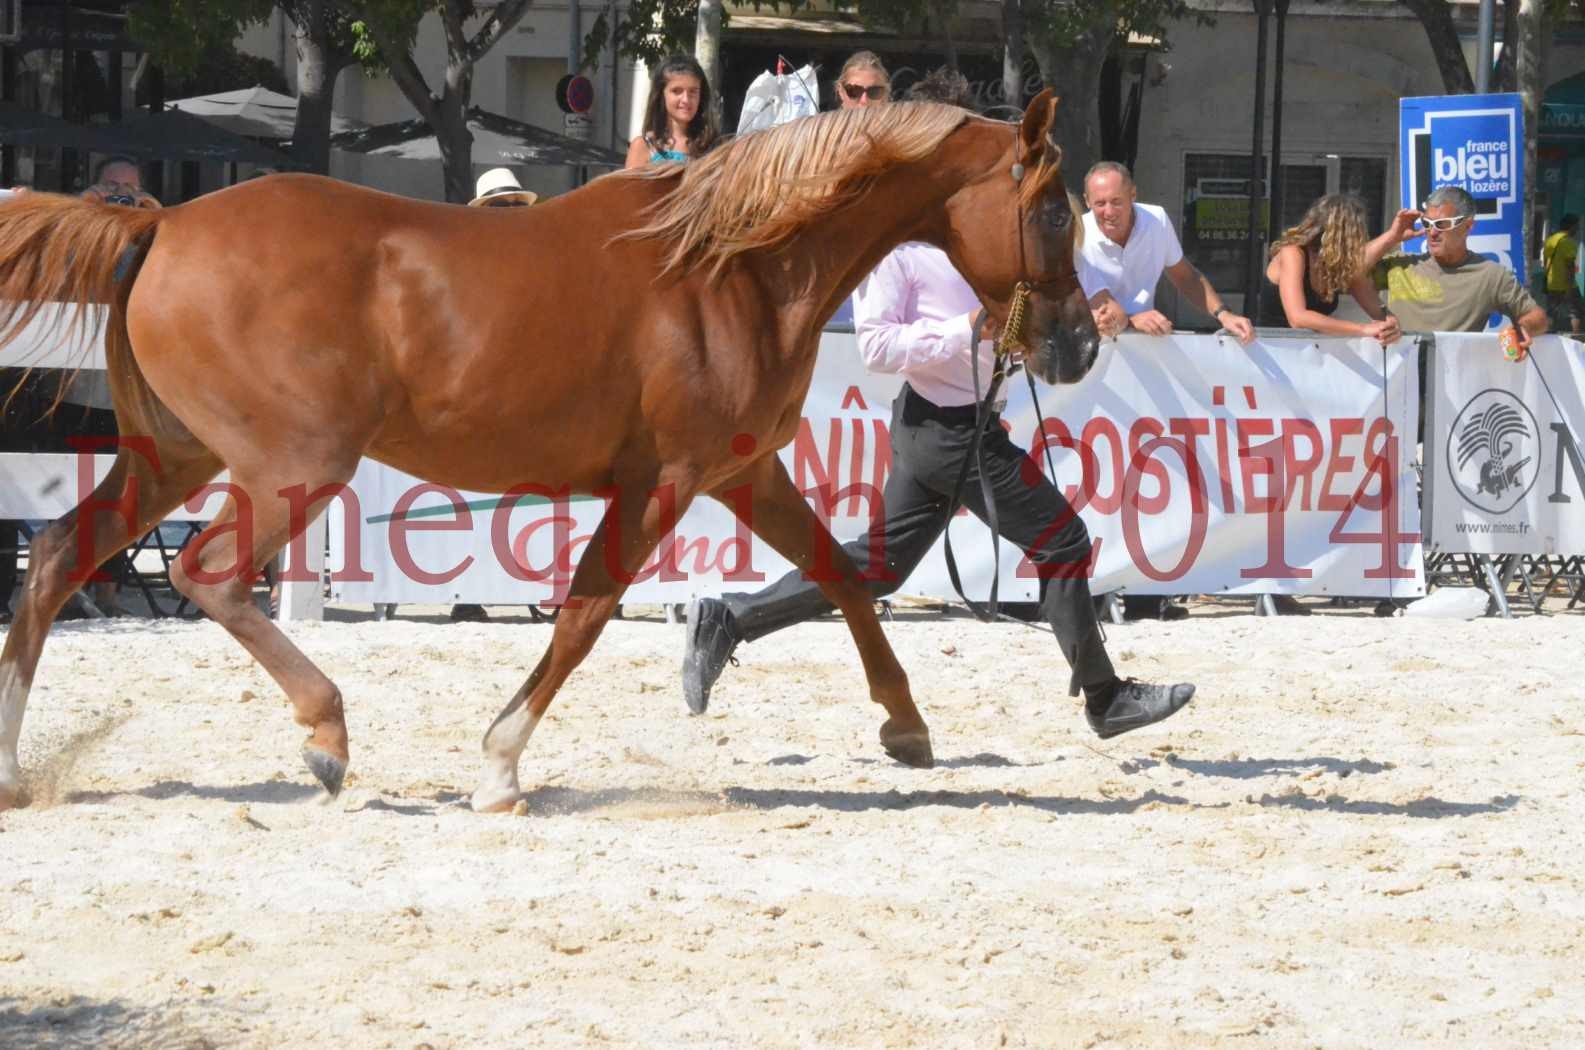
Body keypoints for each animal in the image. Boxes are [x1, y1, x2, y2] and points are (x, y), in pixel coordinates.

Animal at [0, 90, 1096, 812]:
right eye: (1052, 209)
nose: (1078, 346)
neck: (733, 270)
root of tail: (164, 220)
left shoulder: (744, 472)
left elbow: (840, 573)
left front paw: (905, 726)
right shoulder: (663, 483)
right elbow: (584, 615)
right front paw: (499, 764)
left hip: (172, 459)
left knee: (53, 559)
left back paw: (14, 770)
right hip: (291, 468)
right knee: (205, 573)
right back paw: (327, 736)